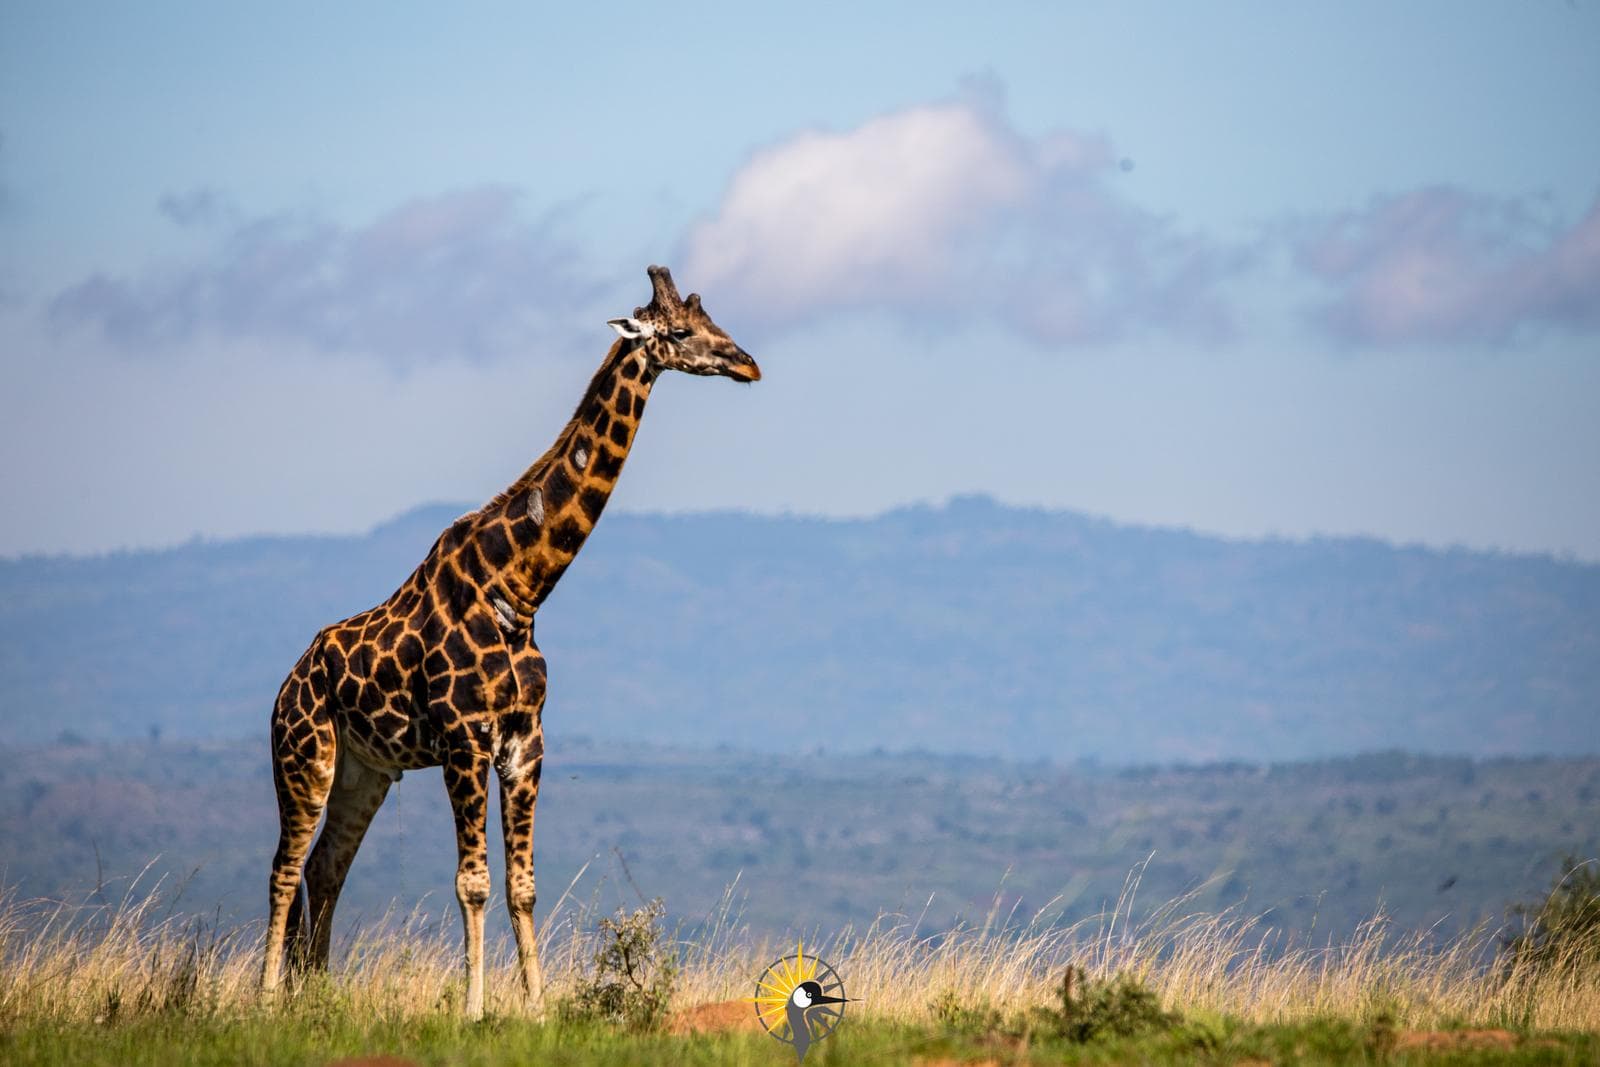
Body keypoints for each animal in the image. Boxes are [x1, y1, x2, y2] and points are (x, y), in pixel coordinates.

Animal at [260, 265, 760, 1018]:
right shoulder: (464, 738)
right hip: (304, 754)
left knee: (326, 867)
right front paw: (473, 1009)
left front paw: (538, 1007)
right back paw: (261, 1001)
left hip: (364, 771)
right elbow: (472, 881)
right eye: (678, 331)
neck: (520, 587)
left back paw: (314, 994)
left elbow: (522, 884)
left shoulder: (526, 740)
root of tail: (289, 681)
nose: (747, 363)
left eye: (712, 320)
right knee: (284, 868)